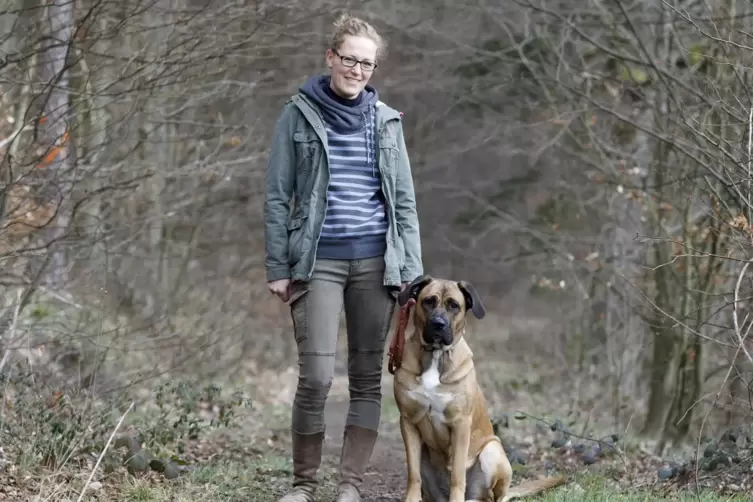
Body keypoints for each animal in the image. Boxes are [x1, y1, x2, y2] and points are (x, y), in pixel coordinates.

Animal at [394, 276, 564, 500]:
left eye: (454, 305)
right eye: (428, 301)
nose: (438, 324)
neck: (436, 356)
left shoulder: (460, 424)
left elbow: (457, 476)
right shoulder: (408, 421)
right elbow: (413, 475)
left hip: (492, 450)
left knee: (490, 496)